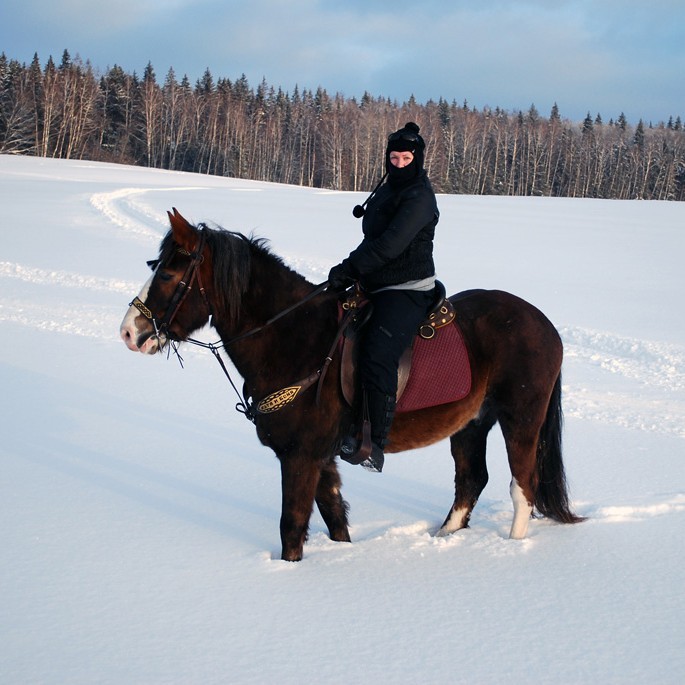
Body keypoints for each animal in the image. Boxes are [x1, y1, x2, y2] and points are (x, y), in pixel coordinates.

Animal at [119, 210, 584, 560]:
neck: (295, 338)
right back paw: (443, 539)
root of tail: (543, 323)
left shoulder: (300, 456)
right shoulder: (322, 456)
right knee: (471, 480)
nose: (129, 332)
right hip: (471, 423)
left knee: (522, 485)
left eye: (168, 275)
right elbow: (334, 519)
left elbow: (292, 527)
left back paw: (512, 549)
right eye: (155, 267)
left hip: (520, 418)